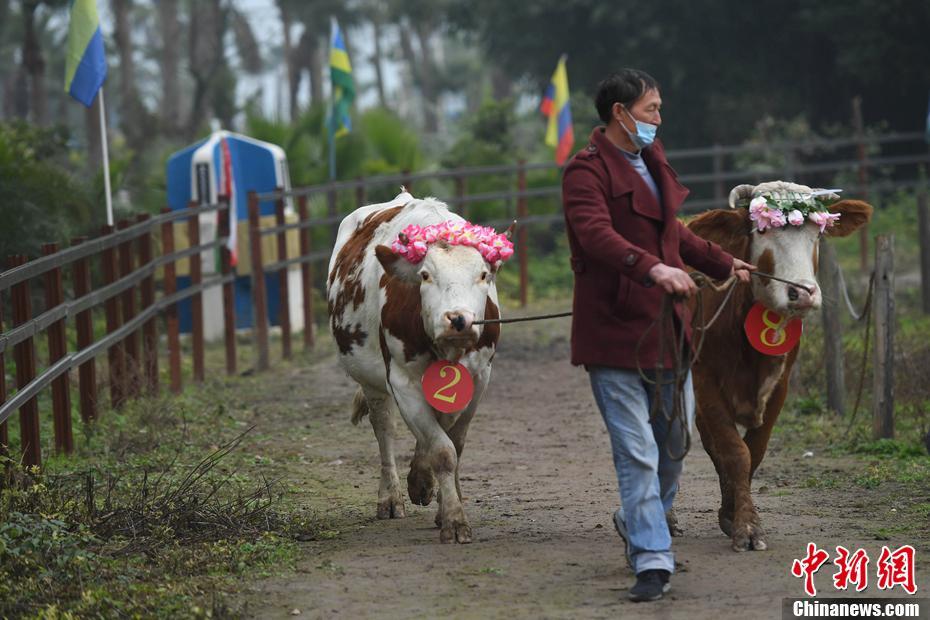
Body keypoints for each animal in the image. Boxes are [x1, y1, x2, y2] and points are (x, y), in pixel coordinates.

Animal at [326, 189, 500, 544]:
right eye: (425, 275)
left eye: (483, 274)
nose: (458, 320)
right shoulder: (402, 381)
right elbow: (442, 450)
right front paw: (454, 520)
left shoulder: (479, 377)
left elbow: (453, 441)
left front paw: (440, 499)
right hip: (371, 381)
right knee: (384, 428)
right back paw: (390, 497)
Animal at [680, 180, 872, 552]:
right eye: (762, 230)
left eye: (817, 233)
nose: (803, 293)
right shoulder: (704, 380)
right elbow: (733, 451)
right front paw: (746, 526)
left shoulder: (780, 385)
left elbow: (753, 451)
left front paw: (736, 514)